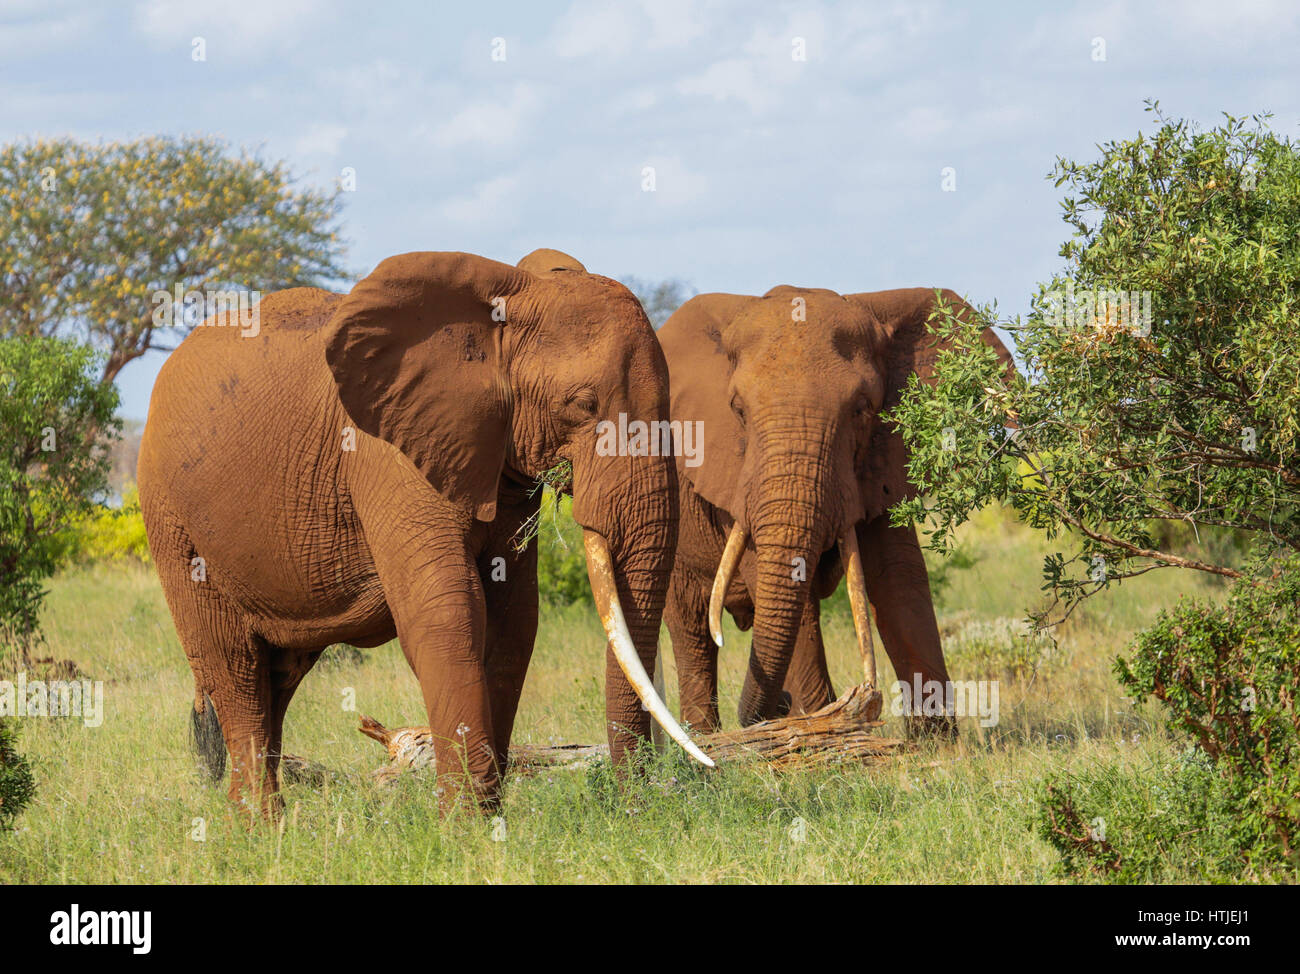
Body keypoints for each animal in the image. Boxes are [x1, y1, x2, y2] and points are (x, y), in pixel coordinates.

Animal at [134, 244, 712, 811]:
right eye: (583, 405)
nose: (634, 802)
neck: (503, 300)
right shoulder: (386, 451)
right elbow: (448, 610)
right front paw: (468, 823)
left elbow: (513, 620)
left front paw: (488, 813)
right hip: (169, 517)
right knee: (234, 665)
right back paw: (259, 827)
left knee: (279, 673)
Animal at [660, 287, 1013, 728]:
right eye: (738, 410)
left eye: (861, 409)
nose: (776, 708)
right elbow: (784, 585)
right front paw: (819, 724)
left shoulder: (880, 462)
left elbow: (898, 578)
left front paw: (937, 743)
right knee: (690, 627)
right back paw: (707, 737)